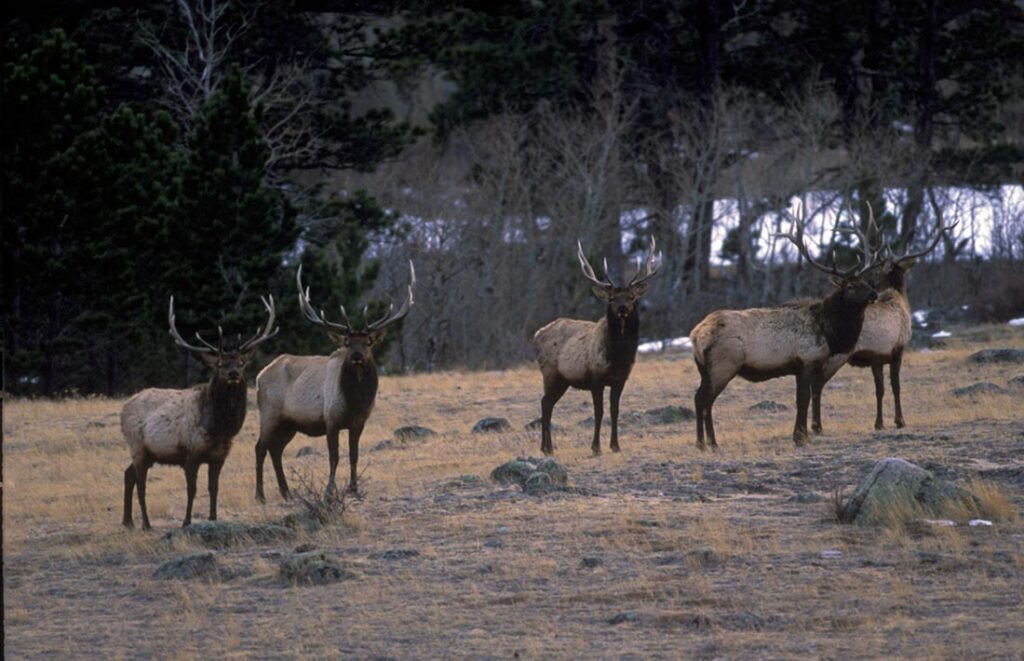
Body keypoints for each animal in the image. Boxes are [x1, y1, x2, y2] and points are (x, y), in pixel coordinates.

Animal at [120, 298, 278, 532]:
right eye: (220, 364)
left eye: (241, 363)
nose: (233, 373)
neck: (219, 429)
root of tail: (123, 410)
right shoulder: (191, 454)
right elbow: (192, 490)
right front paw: (186, 522)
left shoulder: (219, 456)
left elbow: (213, 487)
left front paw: (213, 518)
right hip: (137, 447)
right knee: (140, 484)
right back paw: (146, 524)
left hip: (149, 454)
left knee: (127, 473)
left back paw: (128, 521)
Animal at [253, 261, 413, 499]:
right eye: (347, 342)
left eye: (368, 342)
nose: (356, 356)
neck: (356, 402)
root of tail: (259, 376)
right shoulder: (331, 419)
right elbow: (334, 457)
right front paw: (330, 491)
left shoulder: (359, 422)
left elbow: (354, 455)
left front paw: (354, 489)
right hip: (269, 414)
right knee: (260, 447)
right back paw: (260, 495)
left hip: (288, 424)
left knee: (275, 450)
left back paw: (286, 492)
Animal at [532, 235, 659, 458]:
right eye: (612, 298)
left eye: (632, 297)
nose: (623, 308)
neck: (617, 357)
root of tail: (537, 334)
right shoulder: (595, 378)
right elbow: (598, 412)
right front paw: (596, 447)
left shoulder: (620, 380)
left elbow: (615, 410)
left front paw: (615, 445)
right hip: (550, 373)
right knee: (545, 403)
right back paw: (547, 448)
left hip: (562, 380)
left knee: (547, 403)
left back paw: (546, 447)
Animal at [692, 210, 884, 450]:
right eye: (850, 286)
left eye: (866, 282)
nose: (874, 294)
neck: (829, 331)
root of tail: (696, 336)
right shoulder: (806, 360)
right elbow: (802, 399)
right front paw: (800, 437)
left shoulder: (803, 366)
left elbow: (805, 399)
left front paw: (803, 435)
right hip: (723, 364)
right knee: (703, 399)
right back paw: (708, 443)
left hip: (704, 368)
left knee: (700, 398)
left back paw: (706, 442)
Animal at [806, 209, 950, 431]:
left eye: (876, 269)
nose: (872, 286)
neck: (899, 299)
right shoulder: (899, 348)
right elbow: (896, 386)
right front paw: (900, 421)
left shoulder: (877, 357)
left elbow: (879, 389)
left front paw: (879, 423)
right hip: (837, 355)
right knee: (817, 383)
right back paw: (817, 425)